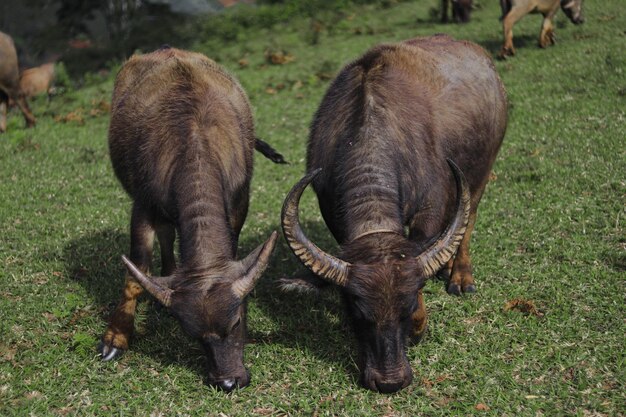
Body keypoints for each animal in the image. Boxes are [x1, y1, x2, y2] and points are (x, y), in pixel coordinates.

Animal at [99, 47, 278, 392]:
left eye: (237, 321)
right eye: (194, 336)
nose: (228, 381)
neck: (193, 140)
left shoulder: (239, 201)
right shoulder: (143, 207)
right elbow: (136, 273)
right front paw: (116, 337)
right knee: (167, 235)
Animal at [280, 34, 504, 392]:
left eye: (407, 306)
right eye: (357, 312)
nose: (390, 381)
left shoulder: (431, 207)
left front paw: (420, 325)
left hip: (482, 171)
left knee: (468, 221)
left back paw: (459, 276)